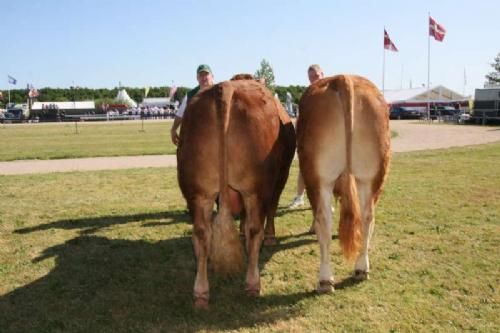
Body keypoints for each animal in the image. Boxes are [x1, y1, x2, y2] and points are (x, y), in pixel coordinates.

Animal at [176, 78, 294, 308]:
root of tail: (226, 87)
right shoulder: (280, 176)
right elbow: (271, 209)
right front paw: (271, 237)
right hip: (256, 189)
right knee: (254, 230)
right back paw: (253, 284)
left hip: (198, 192)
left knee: (201, 234)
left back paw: (201, 293)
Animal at [296, 74, 390, 290]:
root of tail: (342, 78)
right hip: (372, 175)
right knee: (367, 216)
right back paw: (361, 268)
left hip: (318, 176)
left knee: (324, 219)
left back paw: (325, 279)